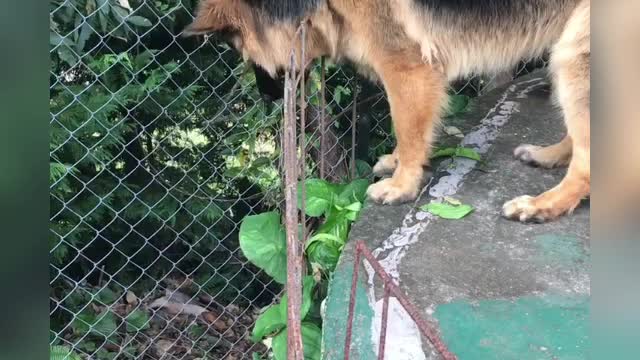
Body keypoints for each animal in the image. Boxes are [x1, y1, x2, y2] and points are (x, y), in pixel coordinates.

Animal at [184, 0, 592, 222]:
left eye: (240, 48)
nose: (267, 96)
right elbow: (410, 132)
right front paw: (396, 163)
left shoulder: (405, 68)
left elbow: (408, 130)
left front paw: (402, 185)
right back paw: (548, 155)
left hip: (575, 55)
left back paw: (543, 205)